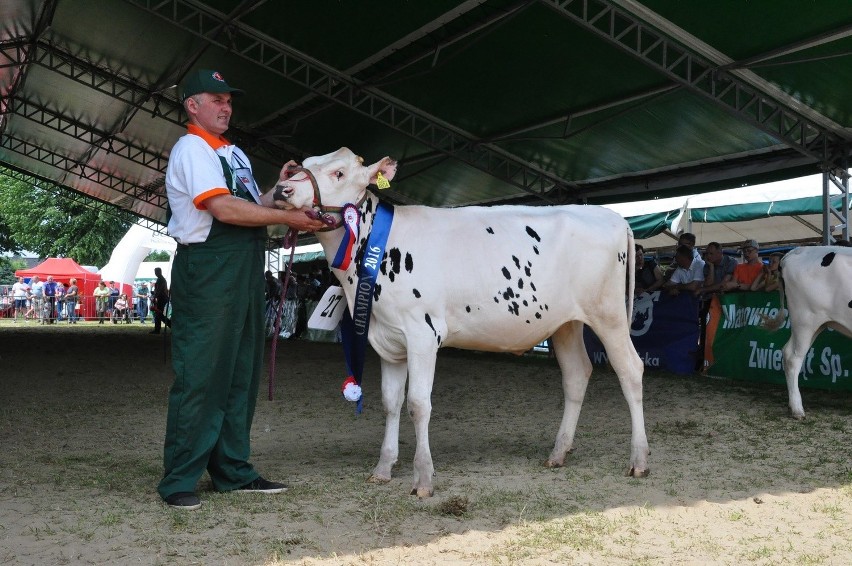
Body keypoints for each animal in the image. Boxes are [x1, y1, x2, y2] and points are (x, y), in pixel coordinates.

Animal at [272, 148, 644, 496]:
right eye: (302, 164)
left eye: (339, 172)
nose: (281, 188)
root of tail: (611, 216)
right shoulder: (390, 340)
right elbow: (391, 402)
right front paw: (383, 468)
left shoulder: (422, 333)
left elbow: (419, 404)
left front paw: (423, 478)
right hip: (565, 322)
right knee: (577, 374)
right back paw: (558, 453)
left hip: (609, 314)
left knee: (630, 370)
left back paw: (638, 459)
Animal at [764, 246, 852, 420]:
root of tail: (796, 250)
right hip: (805, 320)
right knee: (793, 358)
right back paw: (797, 410)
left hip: (814, 324)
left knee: (787, 351)